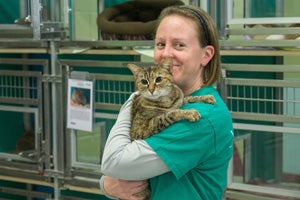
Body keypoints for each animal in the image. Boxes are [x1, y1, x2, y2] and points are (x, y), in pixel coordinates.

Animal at [126, 56, 216, 198]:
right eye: (144, 81)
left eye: (158, 79)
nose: (151, 89)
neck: (165, 101)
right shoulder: (140, 130)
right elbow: (169, 114)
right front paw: (189, 112)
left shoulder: (179, 100)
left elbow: (188, 98)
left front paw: (206, 97)